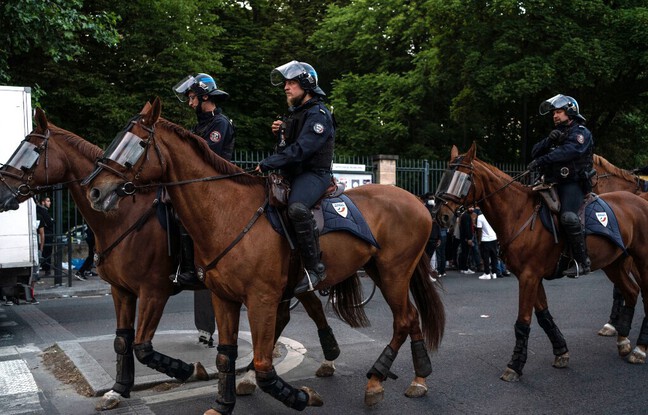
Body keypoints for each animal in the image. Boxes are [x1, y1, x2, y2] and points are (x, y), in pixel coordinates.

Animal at [0, 106, 344, 410]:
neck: (123, 218)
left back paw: (326, 357)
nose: (96, 193)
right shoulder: (121, 290)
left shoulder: (154, 291)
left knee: (311, 305)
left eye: (31, 151)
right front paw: (118, 390)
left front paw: (189, 370)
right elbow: (123, 341)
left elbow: (142, 346)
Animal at [82, 99, 446, 414]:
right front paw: (222, 403)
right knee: (410, 317)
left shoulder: (255, 297)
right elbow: (226, 356)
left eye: (139, 144)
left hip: (393, 272)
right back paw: (417, 376)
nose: (95, 191)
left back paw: (378, 380)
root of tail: (416, 201)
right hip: (378, 271)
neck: (227, 211)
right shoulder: (224, 297)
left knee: (403, 319)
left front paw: (302, 396)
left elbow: (262, 364)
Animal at [432, 144, 648, 384]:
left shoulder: (529, 276)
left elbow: (523, 321)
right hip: (614, 263)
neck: (518, 213)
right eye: (446, 176)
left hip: (641, 260)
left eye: (464, 179)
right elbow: (543, 316)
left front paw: (514, 365)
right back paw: (623, 342)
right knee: (631, 291)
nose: (441, 216)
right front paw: (561, 352)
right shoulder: (530, 276)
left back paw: (640, 349)